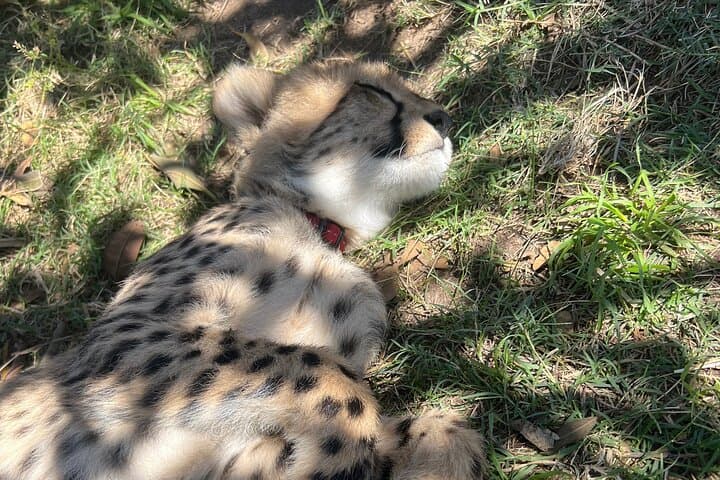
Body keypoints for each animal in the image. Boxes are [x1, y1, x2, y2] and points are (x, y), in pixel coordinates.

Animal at [0, 61, 486, 480]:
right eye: (370, 90)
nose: (442, 117)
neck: (314, 225)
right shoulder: (124, 337)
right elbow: (322, 372)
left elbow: (443, 433)